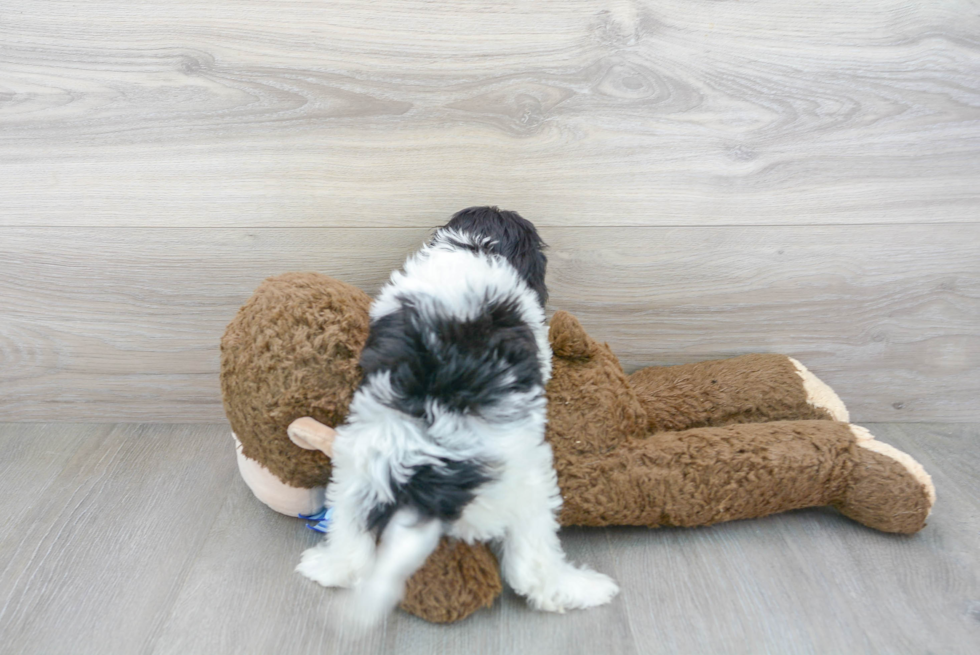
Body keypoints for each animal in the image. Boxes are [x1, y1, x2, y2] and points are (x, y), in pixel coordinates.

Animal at [296, 208, 620, 628]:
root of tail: (432, 474)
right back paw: (584, 588)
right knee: (531, 569)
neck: (474, 246)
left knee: (352, 547)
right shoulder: (534, 329)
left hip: (358, 473)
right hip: (526, 490)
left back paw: (324, 565)